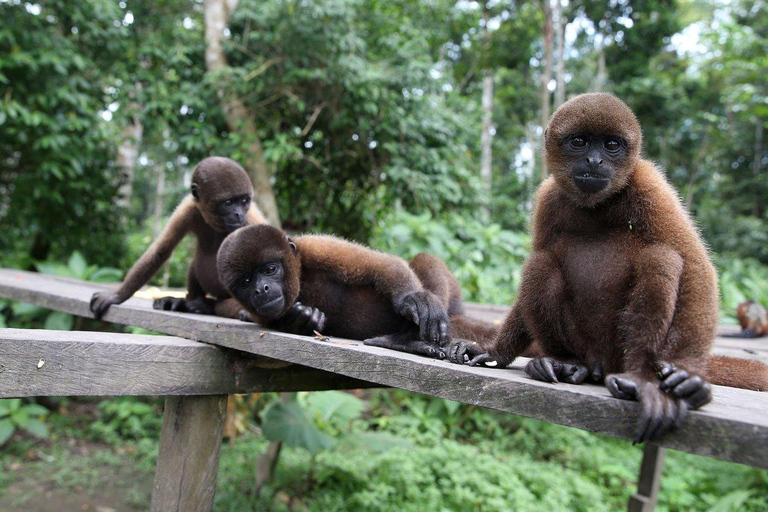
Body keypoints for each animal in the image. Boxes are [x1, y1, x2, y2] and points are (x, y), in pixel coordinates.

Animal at [90, 155, 268, 320]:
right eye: (228, 203)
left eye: (244, 201)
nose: (239, 214)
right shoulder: (187, 208)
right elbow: (161, 250)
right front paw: (116, 296)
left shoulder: (251, 220)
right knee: (194, 263)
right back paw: (186, 301)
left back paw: (202, 305)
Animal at [216, 226, 504, 358]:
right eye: (245, 281)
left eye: (270, 269)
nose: (260, 289)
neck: (299, 278)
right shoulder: (260, 313)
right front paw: (305, 318)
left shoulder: (316, 247)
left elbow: (381, 265)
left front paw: (414, 299)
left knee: (422, 259)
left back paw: (407, 339)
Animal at [450, 93, 768, 444]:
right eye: (579, 142)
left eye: (611, 145)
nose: (594, 161)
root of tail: (599, 362)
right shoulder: (548, 196)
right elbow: (540, 252)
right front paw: (494, 351)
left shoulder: (650, 184)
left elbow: (696, 264)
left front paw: (687, 374)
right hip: (582, 343)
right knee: (540, 262)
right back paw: (566, 364)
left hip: (618, 350)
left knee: (661, 257)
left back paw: (637, 377)